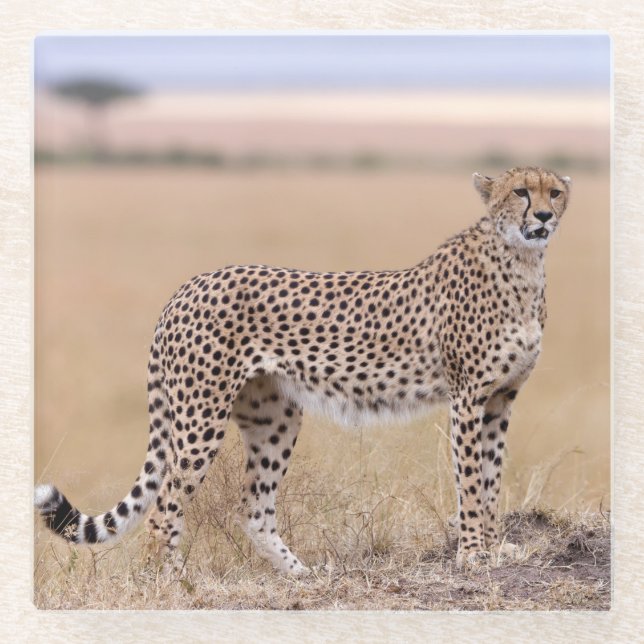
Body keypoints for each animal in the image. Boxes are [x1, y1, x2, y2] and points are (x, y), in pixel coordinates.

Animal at [35, 166, 571, 573]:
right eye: (521, 192)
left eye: (556, 192)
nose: (544, 216)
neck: (522, 263)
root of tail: (188, 285)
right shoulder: (467, 399)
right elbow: (471, 481)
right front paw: (474, 555)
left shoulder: (500, 399)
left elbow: (492, 476)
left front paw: (497, 547)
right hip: (200, 417)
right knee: (165, 505)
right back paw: (166, 582)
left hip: (274, 416)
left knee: (252, 507)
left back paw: (300, 574)